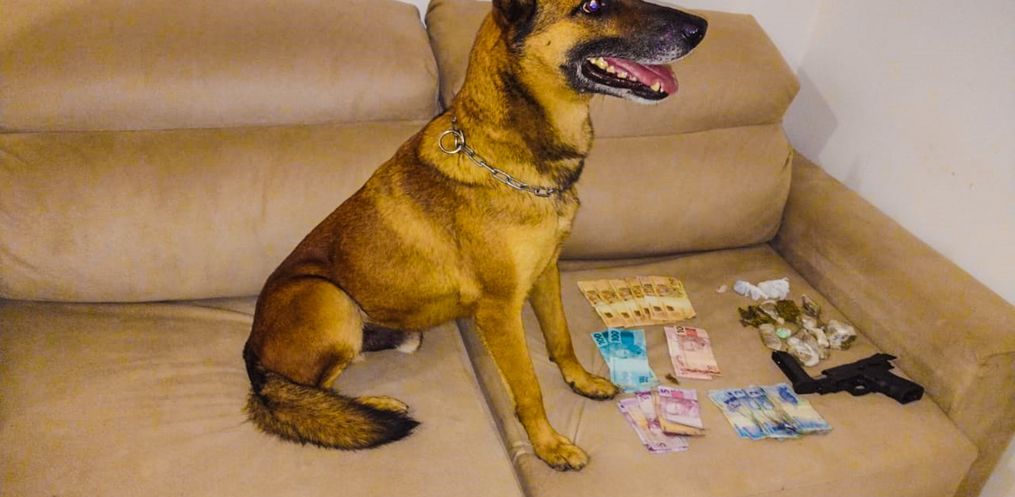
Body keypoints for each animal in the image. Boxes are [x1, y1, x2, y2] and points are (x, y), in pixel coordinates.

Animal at [243, 0, 706, 471]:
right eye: (591, 6)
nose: (700, 26)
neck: (514, 161)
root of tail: (252, 352)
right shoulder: (500, 311)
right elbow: (528, 386)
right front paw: (548, 445)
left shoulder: (547, 272)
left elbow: (560, 339)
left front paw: (581, 380)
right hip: (329, 299)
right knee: (303, 393)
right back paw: (373, 405)